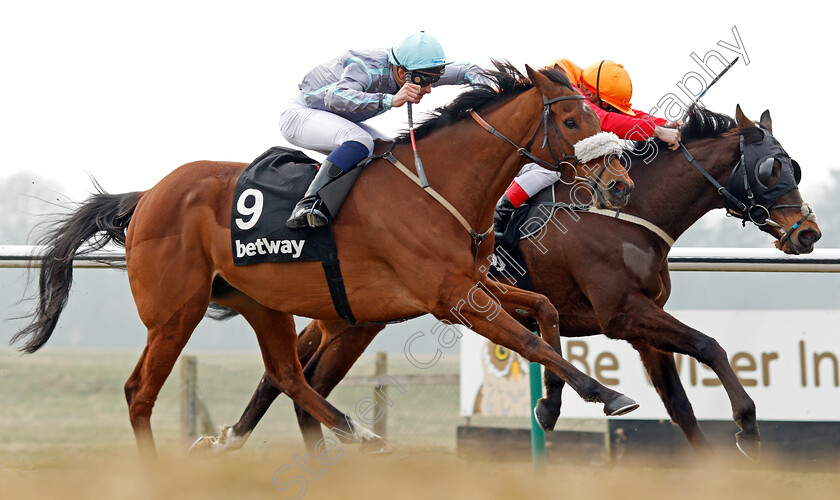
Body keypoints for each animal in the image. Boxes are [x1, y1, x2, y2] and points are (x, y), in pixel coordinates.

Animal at [11, 61, 636, 458]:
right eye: (574, 121)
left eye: (596, 116)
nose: (620, 184)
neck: (437, 185)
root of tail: (145, 198)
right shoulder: (452, 298)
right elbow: (529, 339)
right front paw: (606, 393)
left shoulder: (471, 283)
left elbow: (546, 311)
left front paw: (551, 406)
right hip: (174, 313)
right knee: (139, 392)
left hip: (264, 303)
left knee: (286, 374)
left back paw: (349, 433)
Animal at [189, 104, 820, 460]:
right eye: (773, 167)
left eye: (795, 165)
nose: (809, 232)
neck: (623, 212)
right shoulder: (623, 315)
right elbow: (710, 346)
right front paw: (747, 426)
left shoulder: (642, 327)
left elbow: (682, 406)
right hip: (353, 320)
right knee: (300, 376)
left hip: (349, 318)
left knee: (293, 373)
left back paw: (231, 437)